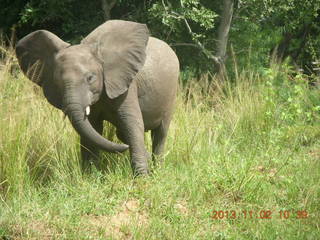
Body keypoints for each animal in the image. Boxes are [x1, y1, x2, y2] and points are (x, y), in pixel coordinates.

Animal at [15, 20, 179, 174]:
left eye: (90, 78)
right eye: (56, 82)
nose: (124, 148)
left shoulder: (125, 84)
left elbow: (131, 122)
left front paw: (141, 178)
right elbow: (92, 126)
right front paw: (90, 176)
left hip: (171, 95)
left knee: (160, 134)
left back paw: (157, 169)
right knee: (122, 133)